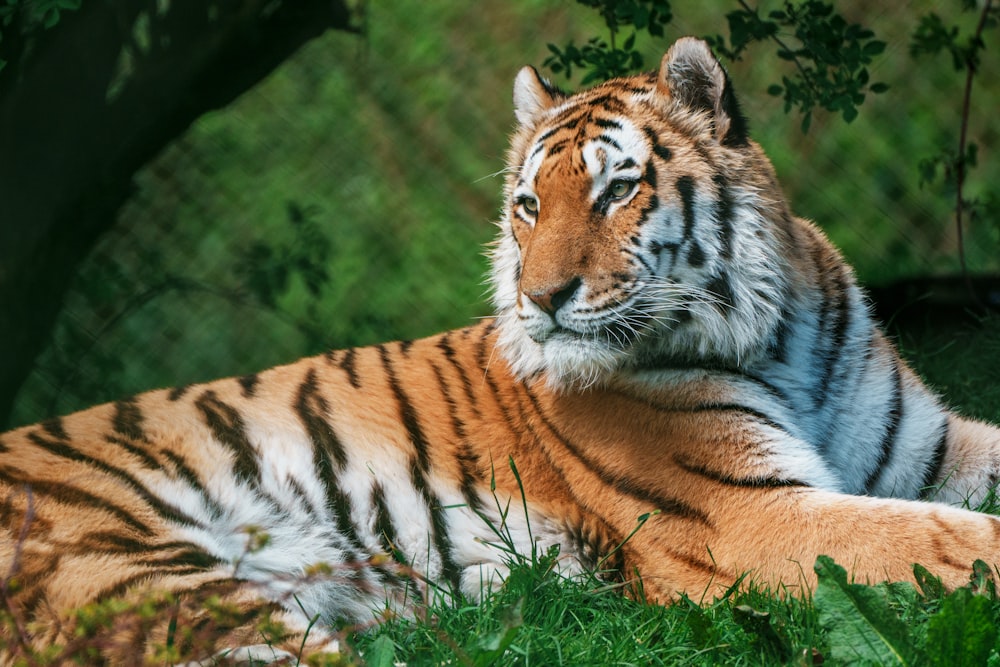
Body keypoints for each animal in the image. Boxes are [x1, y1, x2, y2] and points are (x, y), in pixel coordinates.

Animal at [5, 35, 1000, 664]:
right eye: (529, 205)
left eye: (616, 192)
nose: (540, 300)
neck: (777, 335)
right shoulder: (749, 517)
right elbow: (943, 540)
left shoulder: (929, 447)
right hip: (160, 581)